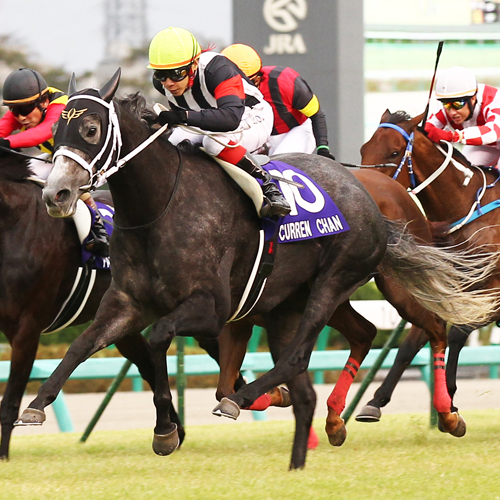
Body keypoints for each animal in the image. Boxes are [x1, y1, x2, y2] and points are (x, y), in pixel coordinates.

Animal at [358, 110, 500, 434]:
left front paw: (450, 401)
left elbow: (458, 332)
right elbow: (411, 343)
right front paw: (374, 402)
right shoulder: (443, 290)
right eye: (363, 148)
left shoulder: (492, 293)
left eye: (394, 152)